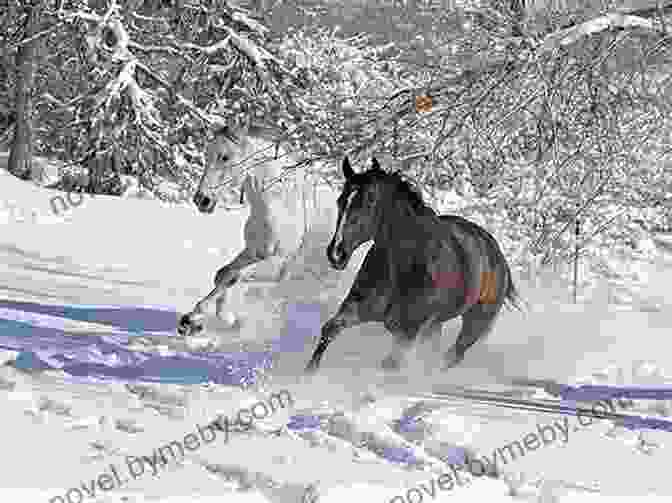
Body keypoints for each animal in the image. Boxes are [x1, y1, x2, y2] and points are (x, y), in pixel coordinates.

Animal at [176, 123, 328, 336]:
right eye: (207, 155)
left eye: (225, 156)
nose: (202, 200)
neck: (280, 204)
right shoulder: (254, 252)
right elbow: (223, 274)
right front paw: (212, 319)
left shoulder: (281, 265)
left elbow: (235, 275)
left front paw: (199, 319)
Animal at [304, 158, 520, 374]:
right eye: (341, 201)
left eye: (370, 202)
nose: (336, 253)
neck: (405, 266)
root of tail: (499, 257)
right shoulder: (357, 309)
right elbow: (330, 329)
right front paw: (308, 375)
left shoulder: (408, 333)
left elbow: (390, 364)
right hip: (435, 326)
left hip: (474, 325)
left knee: (452, 356)